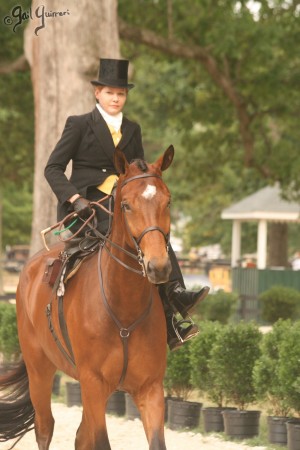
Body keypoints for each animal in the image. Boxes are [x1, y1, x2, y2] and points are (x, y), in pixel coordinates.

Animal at [0, 146, 175, 448]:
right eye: (126, 205)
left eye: (168, 201)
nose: (159, 266)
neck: (123, 309)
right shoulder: (93, 384)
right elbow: (100, 441)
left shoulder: (150, 389)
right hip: (39, 371)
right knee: (44, 427)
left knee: (81, 436)